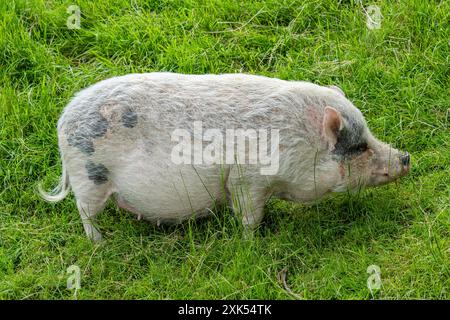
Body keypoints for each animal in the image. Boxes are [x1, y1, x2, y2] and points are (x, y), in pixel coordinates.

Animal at [39, 73, 412, 242]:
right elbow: (249, 215)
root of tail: (63, 120)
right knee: (85, 212)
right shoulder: (247, 179)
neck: (298, 142)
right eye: (359, 146)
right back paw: (99, 244)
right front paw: (251, 243)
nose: (406, 157)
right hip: (89, 176)